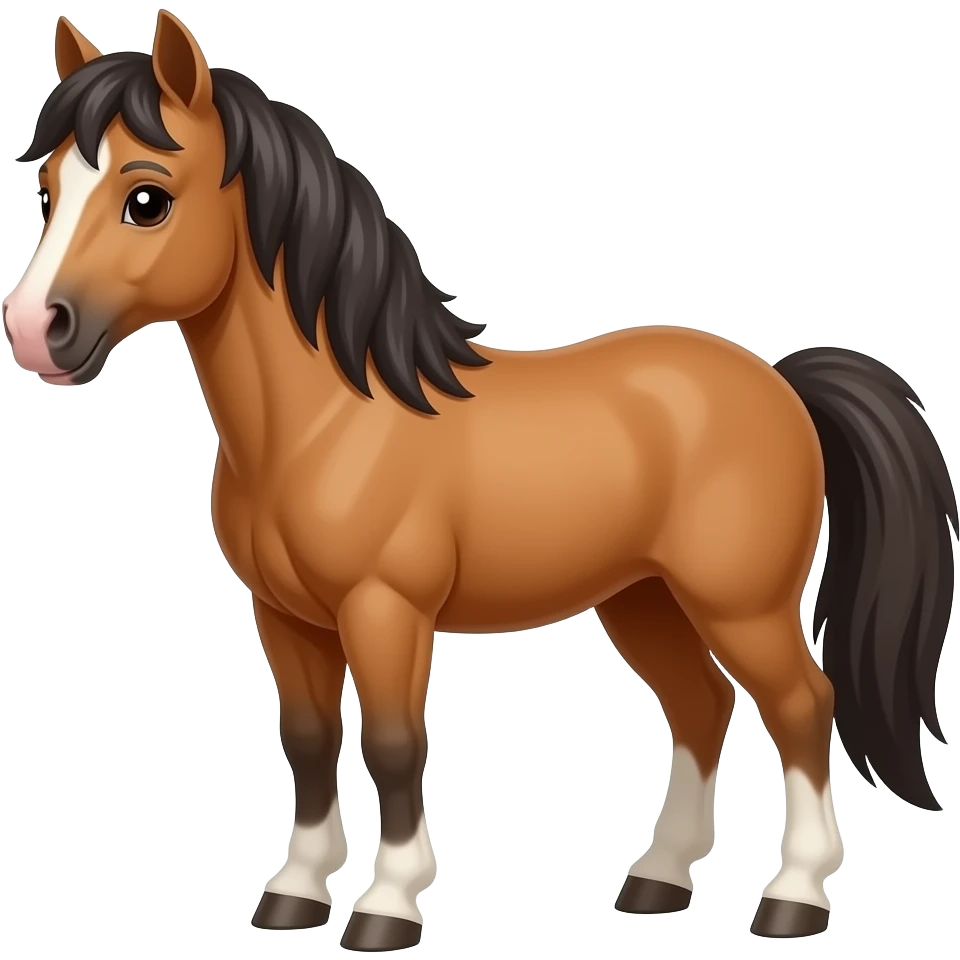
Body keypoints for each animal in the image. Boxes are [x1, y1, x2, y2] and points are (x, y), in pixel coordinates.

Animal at [3, 11, 954, 950]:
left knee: (803, 706)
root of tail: (781, 383)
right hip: (643, 599)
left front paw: (387, 907)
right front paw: (295, 895)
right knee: (700, 706)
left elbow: (394, 745)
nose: (33, 329)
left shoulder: (384, 610)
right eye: (48, 190)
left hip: (739, 604)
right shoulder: (284, 616)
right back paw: (658, 880)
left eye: (147, 198)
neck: (330, 420)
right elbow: (308, 743)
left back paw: (795, 898)